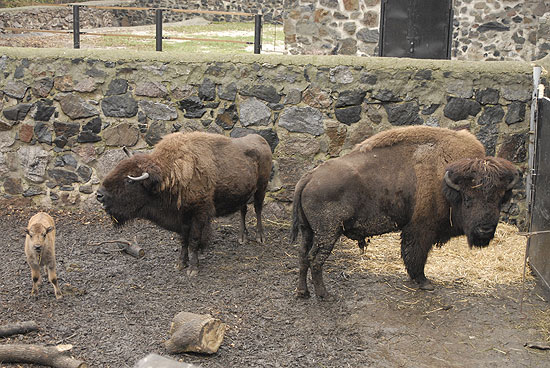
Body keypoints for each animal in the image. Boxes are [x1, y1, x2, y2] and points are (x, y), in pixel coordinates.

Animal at [294, 126, 520, 300]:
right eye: (468, 199)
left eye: (500, 199)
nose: (485, 230)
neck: (445, 182)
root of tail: (309, 177)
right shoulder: (421, 229)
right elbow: (416, 255)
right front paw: (424, 282)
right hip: (328, 233)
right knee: (315, 259)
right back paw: (325, 295)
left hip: (308, 230)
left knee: (303, 255)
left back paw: (303, 292)